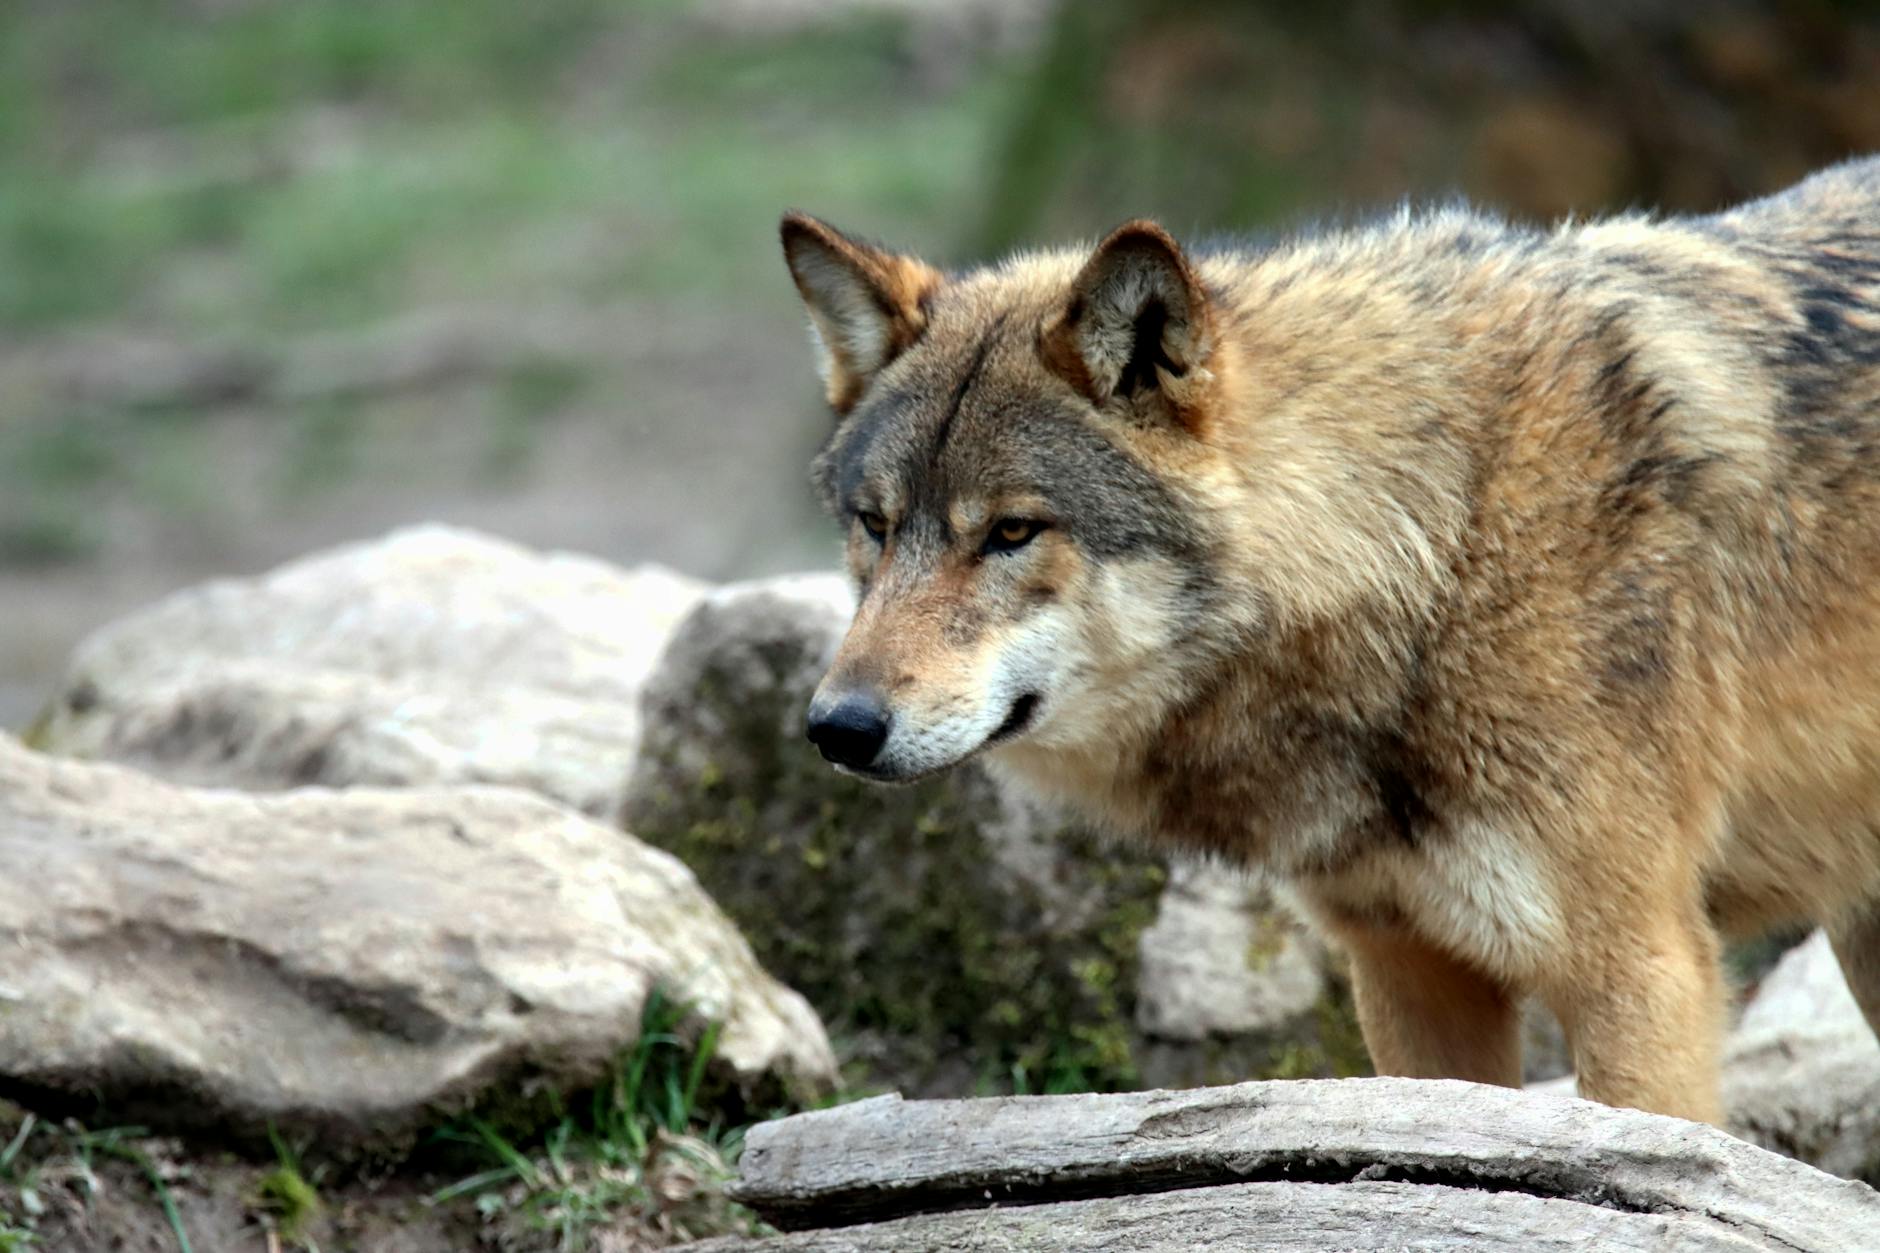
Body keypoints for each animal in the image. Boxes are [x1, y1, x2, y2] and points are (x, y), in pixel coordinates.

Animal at [778, 156, 1880, 1125]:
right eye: (875, 524)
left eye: (1011, 531)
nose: (838, 727)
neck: (1441, 546)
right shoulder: (1407, 969)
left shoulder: (1640, 970)